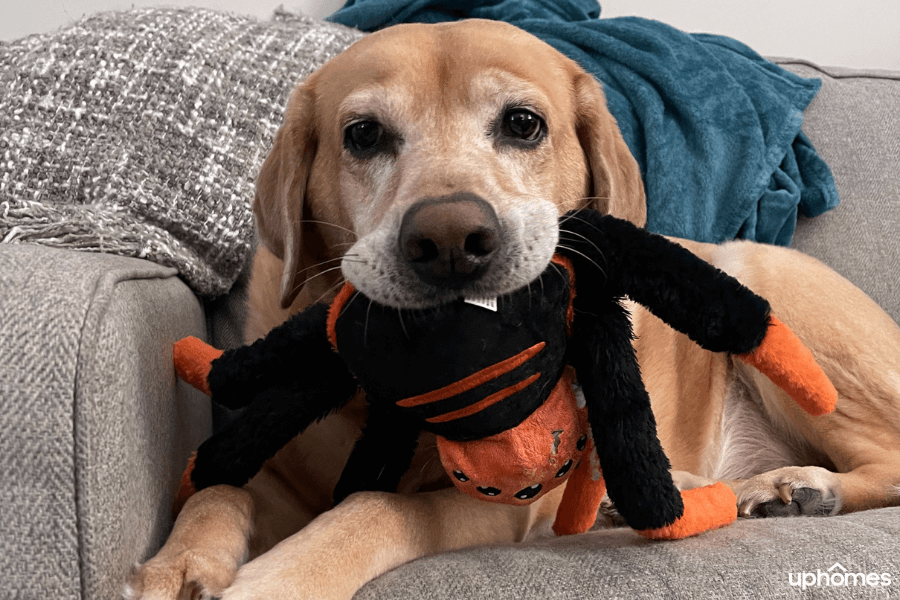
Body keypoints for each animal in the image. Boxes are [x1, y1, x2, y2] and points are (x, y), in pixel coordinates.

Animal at [126, 18, 900, 600]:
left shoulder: (502, 502)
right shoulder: (278, 476)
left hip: (773, 290)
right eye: (363, 135)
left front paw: (279, 578)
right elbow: (218, 492)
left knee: (889, 461)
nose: (450, 242)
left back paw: (804, 488)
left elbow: (377, 507)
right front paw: (177, 564)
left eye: (523, 124)